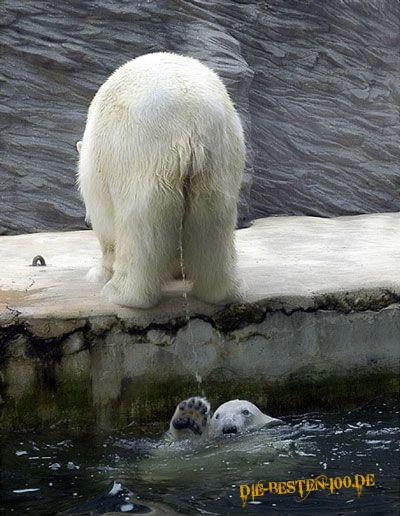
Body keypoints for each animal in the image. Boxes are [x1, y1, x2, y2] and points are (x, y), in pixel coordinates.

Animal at [75, 52, 244, 308]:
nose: (84, 221)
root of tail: (190, 123)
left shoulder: (100, 167)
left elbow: (105, 225)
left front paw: (98, 273)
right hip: (220, 158)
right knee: (213, 222)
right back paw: (220, 291)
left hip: (139, 153)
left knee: (140, 225)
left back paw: (122, 293)